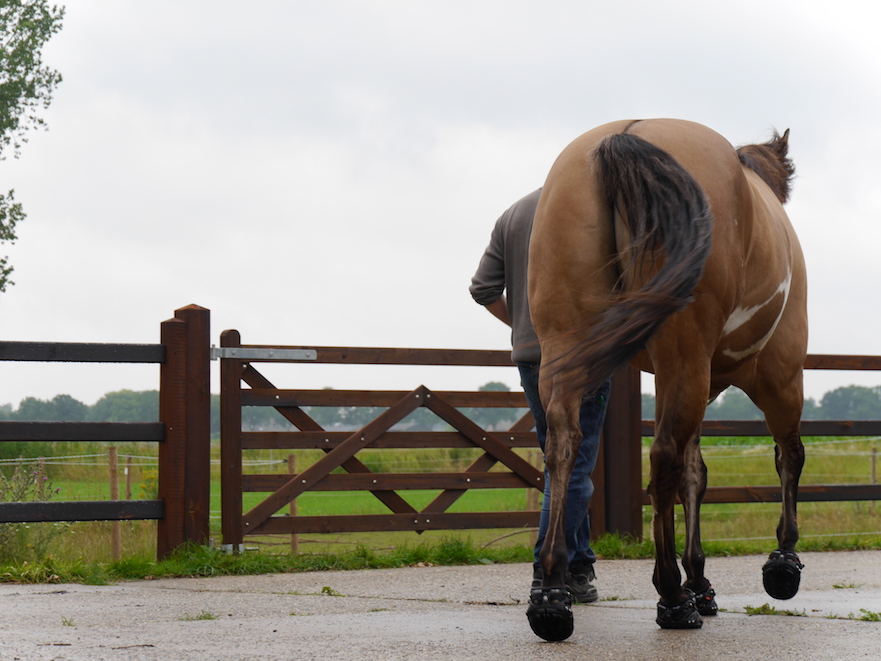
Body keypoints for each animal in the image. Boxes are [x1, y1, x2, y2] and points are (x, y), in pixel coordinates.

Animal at [524, 118, 804, 640]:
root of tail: (627, 134)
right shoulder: (781, 371)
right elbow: (787, 458)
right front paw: (782, 561)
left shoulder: (697, 382)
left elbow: (698, 474)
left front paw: (701, 579)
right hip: (689, 357)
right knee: (663, 459)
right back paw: (671, 596)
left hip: (566, 350)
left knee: (563, 447)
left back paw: (551, 594)